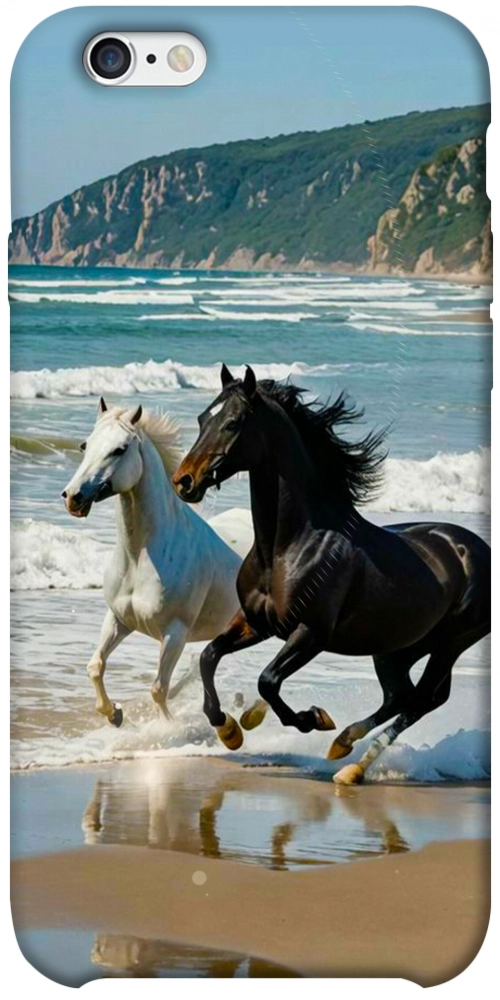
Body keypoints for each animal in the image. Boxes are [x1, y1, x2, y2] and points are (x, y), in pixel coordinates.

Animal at [62, 397, 241, 726]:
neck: (140, 558)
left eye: (120, 449)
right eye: (85, 445)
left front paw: (166, 729)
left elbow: (158, 689)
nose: (73, 497)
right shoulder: (118, 619)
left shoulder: (174, 633)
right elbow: (95, 666)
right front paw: (114, 714)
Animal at [172, 365, 490, 783]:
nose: (184, 481)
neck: (288, 547)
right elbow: (209, 656)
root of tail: (478, 550)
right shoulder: (257, 623)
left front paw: (312, 719)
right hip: (397, 647)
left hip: (451, 642)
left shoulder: (311, 633)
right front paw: (229, 730)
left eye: (233, 422)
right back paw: (343, 746)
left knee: (421, 699)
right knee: (402, 696)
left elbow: (268, 681)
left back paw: (350, 764)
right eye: (201, 419)